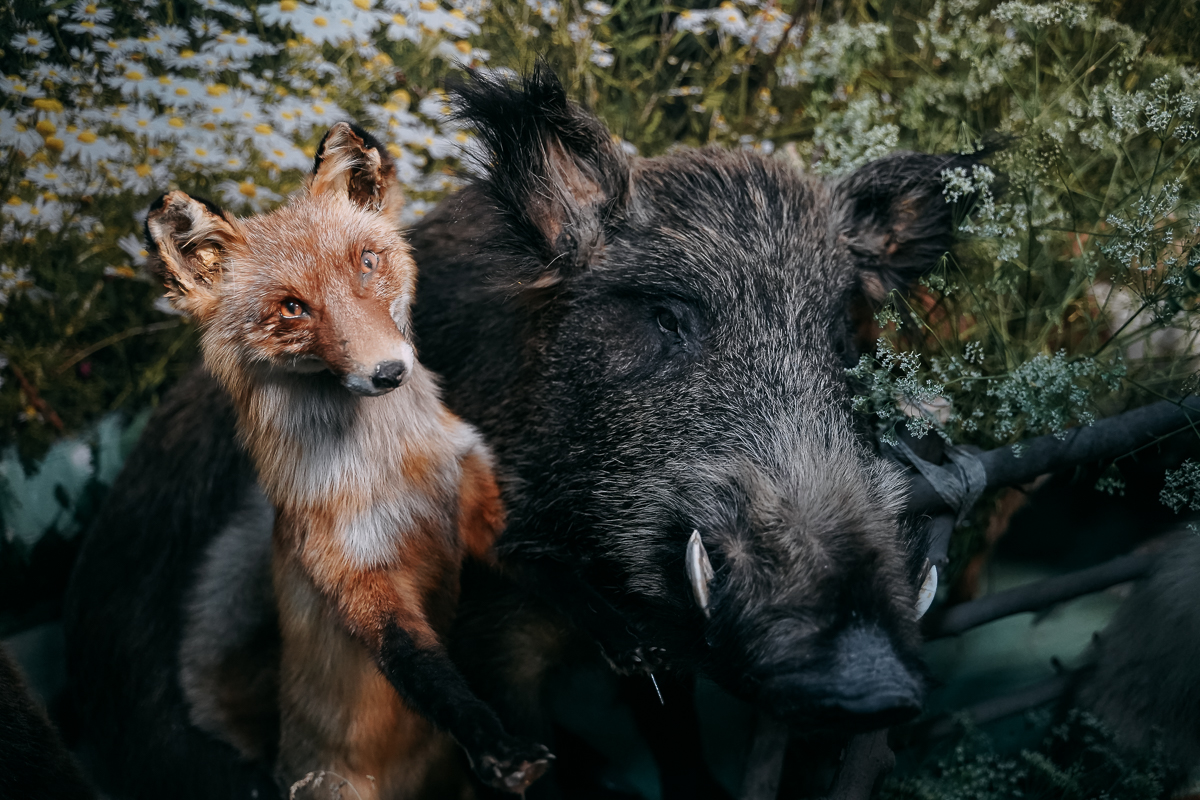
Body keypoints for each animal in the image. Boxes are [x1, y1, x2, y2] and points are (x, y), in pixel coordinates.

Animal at [145, 122, 552, 796]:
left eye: (367, 262)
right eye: (291, 307)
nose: (388, 371)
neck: (396, 474)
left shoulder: (478, 507)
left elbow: (565, 579)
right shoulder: (356, 578)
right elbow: (429, 677)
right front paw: (495, 745)